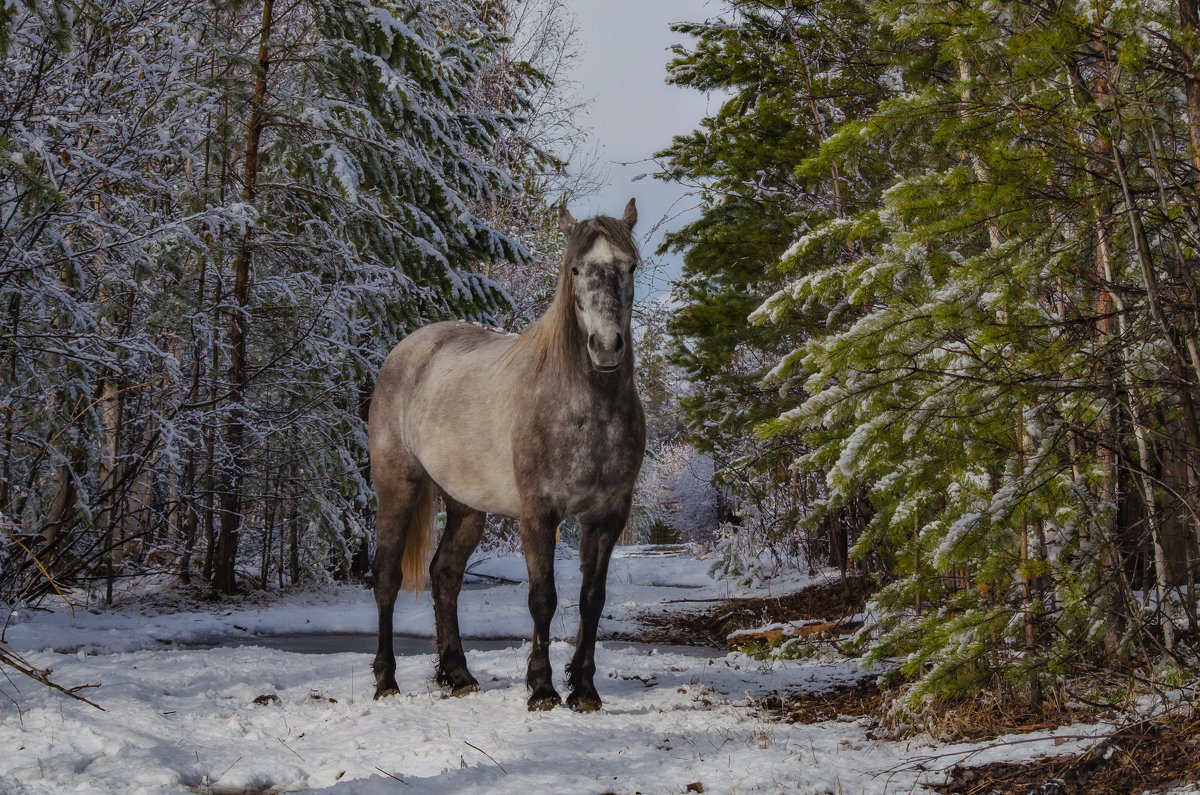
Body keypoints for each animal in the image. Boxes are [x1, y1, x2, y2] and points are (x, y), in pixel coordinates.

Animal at [369, 202, 648, 710]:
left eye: (630, 266)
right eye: (574, 269)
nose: (606, 347)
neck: (584, 410)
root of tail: (406, 352)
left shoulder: (608, 515)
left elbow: (591, 599)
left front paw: (585, 689)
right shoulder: (538, 512)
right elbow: (543, 598)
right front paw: (542, 688)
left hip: (465, 506)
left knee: (445, 575)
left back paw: (458, 674)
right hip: (397, 487)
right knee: (386, 577)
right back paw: (386, 681)